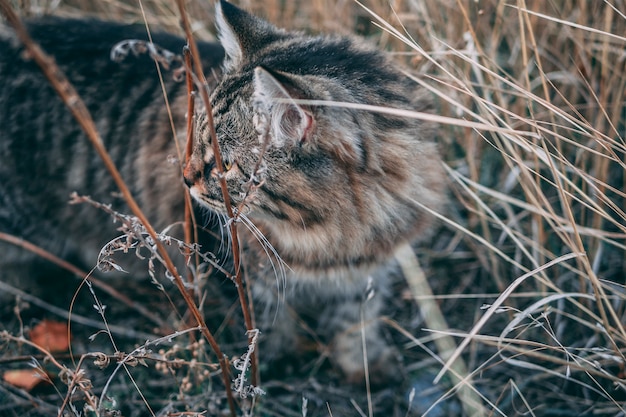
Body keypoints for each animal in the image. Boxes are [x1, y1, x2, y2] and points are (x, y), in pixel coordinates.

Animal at [183, 1, 446, 382]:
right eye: (197, 136)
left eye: (225, 165)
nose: (185, 178)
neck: (329, 240)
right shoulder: (253, 275)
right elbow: (268, 322)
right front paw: (275, 361)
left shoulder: (369, 270)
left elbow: (354, 321)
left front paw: (362, 366)